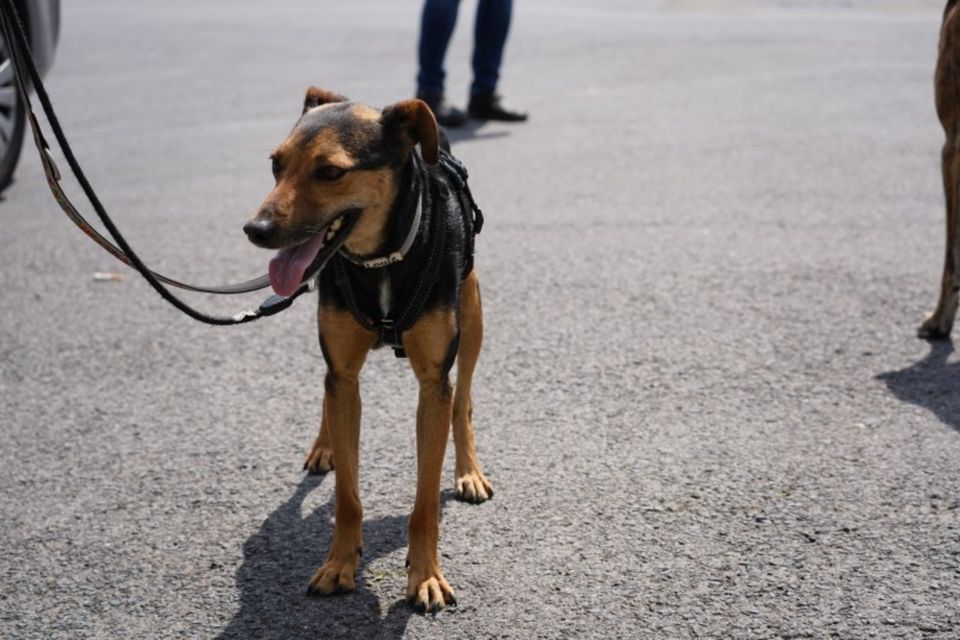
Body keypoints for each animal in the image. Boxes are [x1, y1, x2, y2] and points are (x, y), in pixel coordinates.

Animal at [244, 86, 492, 608]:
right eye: (275, 164)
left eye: (331, 172)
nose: (255, 229)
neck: (380, 260)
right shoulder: (342, 368)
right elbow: (347, 494)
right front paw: (339, 563)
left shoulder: (433, 382)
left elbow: (424, 500)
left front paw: (426, 576)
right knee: (330, 393)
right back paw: (324, 446)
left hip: (474, 310)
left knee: (463, 399)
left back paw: (468, 471)